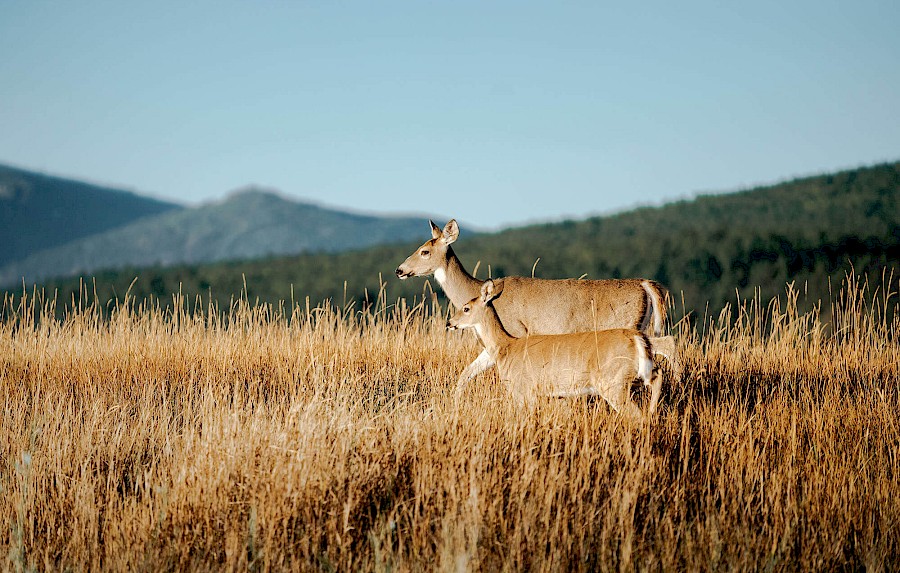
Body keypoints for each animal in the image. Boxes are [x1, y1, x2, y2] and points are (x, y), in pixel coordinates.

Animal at [394, 219, 676, 388]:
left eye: (424, 251)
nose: (399, 270)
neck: (476, 292)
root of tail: (645, 285)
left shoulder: (516, 332)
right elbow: (466, 373)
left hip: (627, 328)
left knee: (668, 344)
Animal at [448, 280, 664, 418]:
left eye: (466, 308)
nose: (450, 323)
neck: (505, 346)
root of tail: (637, 338)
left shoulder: (522, 389)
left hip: (613, 383)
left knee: (637, 416)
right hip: (635, 375)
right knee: (657, 375)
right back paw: (653, 411)